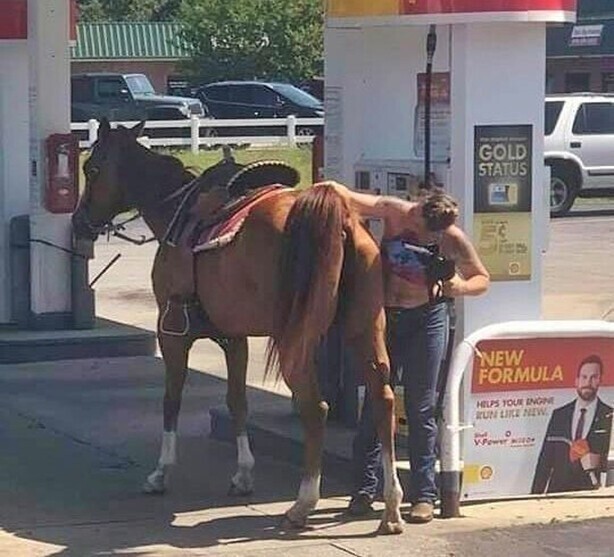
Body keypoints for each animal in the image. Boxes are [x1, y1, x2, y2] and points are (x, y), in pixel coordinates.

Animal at [72, 119, 406, 532]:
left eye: (92, 169)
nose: (79, 222)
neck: (177, 214)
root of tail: (336, 218)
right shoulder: (235, 337)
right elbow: (237, 400)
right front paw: (244, 473)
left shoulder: (172, 331)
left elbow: (172, 399)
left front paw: (161, 472)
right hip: (364, 328)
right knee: (383, 398)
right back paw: (391, 505)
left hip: (296, 339)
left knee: (316, 408)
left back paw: (303, 502)